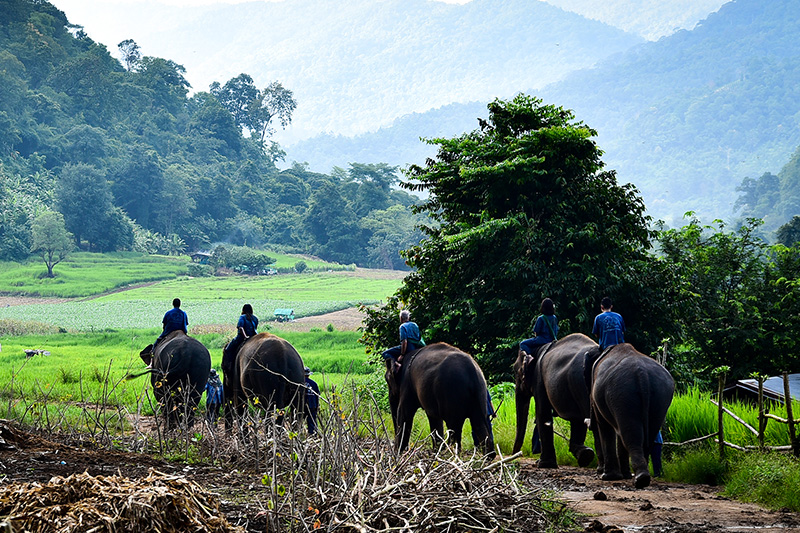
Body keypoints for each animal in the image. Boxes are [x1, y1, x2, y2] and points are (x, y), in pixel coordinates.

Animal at [516, 332, 596, 466]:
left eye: (517, 373)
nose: (517, 454)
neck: (538, 349)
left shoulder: (539, 379)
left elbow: (542, 413)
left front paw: (543, 464)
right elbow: (578, 421)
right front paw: (584, 454)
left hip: (581, 384)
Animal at [592, 342, 672, 488]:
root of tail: (642, 374)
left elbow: (604, 425)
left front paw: (608, 477)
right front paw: (623, 476)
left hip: (622, 392)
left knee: (630, 434)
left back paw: (639, 479)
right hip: (660, 394)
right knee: (648, 434)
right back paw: (642, 477)